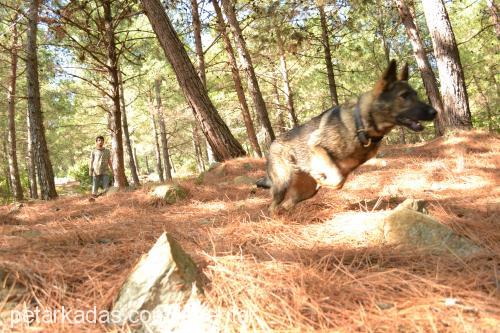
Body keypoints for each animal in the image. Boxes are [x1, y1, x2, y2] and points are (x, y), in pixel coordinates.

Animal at [258, 60, 438, 213]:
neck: (360, 125)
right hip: (283, 183)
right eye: (404, 96)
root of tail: (273, 143)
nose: (435, 112)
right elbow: (337, 180)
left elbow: (339, 181)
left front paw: (323, 179)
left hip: (307, 192)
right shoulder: (316, 146)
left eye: (415, 94)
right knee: (273, 206)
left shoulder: (343, 171)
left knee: (287, 204)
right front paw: (323, 178)